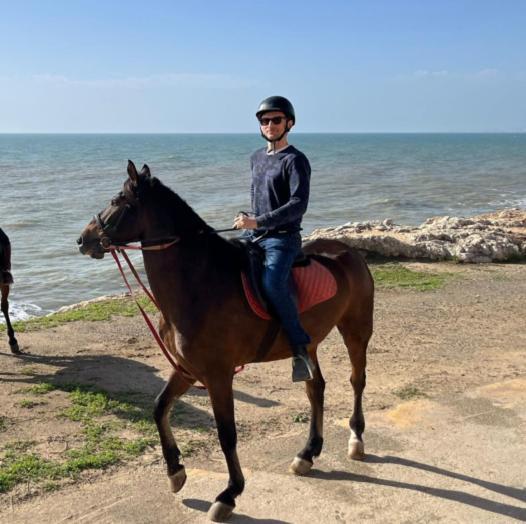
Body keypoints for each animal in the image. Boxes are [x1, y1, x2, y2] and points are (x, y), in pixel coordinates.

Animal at [77, 162, 376, 520]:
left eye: (117, 200)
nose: (83, 239)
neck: (199, 284)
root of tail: (349, 252)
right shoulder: (187, 369)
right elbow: (160, 408)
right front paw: (175, 471)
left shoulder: (218, 375)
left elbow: (227, 434)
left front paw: (229, 494)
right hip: (308, 345)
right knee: (315, 388)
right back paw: (307, 453)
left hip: (356, 330)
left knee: (357, 380)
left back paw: (356, 438)